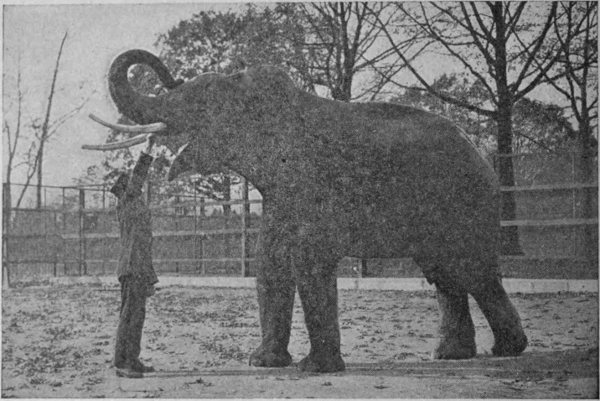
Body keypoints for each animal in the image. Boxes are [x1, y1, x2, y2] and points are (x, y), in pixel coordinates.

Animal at [89, 49, 527, 373]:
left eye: (205, 102)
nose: (167, 74)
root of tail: (482, 155)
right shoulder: (283, 194)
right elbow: (270, 263)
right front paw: (263, 363)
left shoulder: (312, 182)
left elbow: (310, 261)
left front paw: (313, 368)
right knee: (443, 274)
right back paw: (452, 355)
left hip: (467, 203)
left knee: (473, 272)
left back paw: (507, 350)